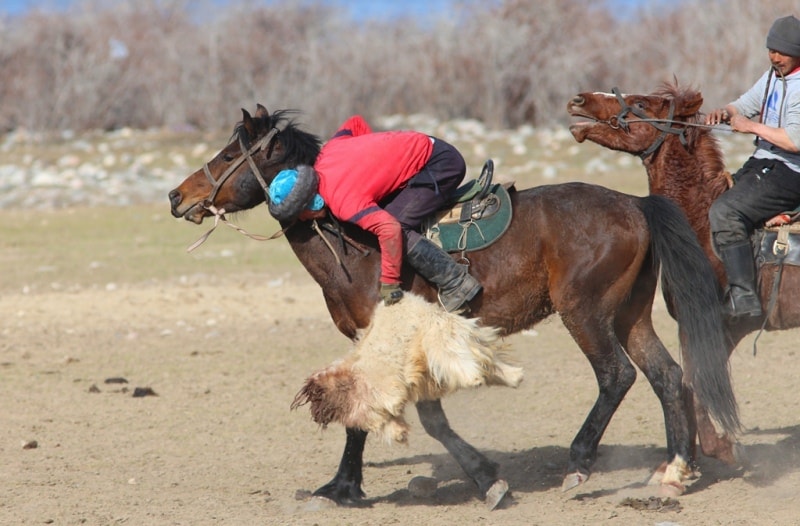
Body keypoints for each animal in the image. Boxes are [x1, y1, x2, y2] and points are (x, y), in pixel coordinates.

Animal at [167, 106, 736, 508]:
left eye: (227, 156)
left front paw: (487, 481)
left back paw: (580, 463)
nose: (176, 196)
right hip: (630, 313)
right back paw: (673, 470)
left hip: (586, 312)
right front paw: (342, 487)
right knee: (668, 375)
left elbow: (427, 417)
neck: (349, 242)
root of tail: (636, 204)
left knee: (617, 376)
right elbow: (368, 407)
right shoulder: (370, 342)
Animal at [564, 82, 784, 470]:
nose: (579, 100)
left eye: (639, 103)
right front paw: (685, 459)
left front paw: (712, 452)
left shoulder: (717, 324)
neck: (700, 222)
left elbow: (696, 381)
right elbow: (690, 381)